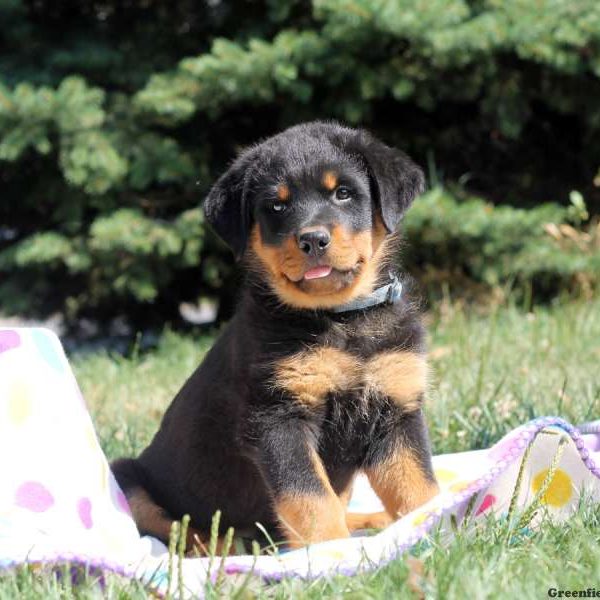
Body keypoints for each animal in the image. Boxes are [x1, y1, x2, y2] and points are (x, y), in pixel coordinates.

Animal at [112, 119, 438, 552]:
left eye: (344, 192)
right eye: (277, 206)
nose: (312, 239)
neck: (340, 319)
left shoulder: (396, 408)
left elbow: (417, 485)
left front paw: (448, 524)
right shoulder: (277, 418)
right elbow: (310, 498)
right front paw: (330, 552)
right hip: (128, 479)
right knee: (182, 532)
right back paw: (223, 548)